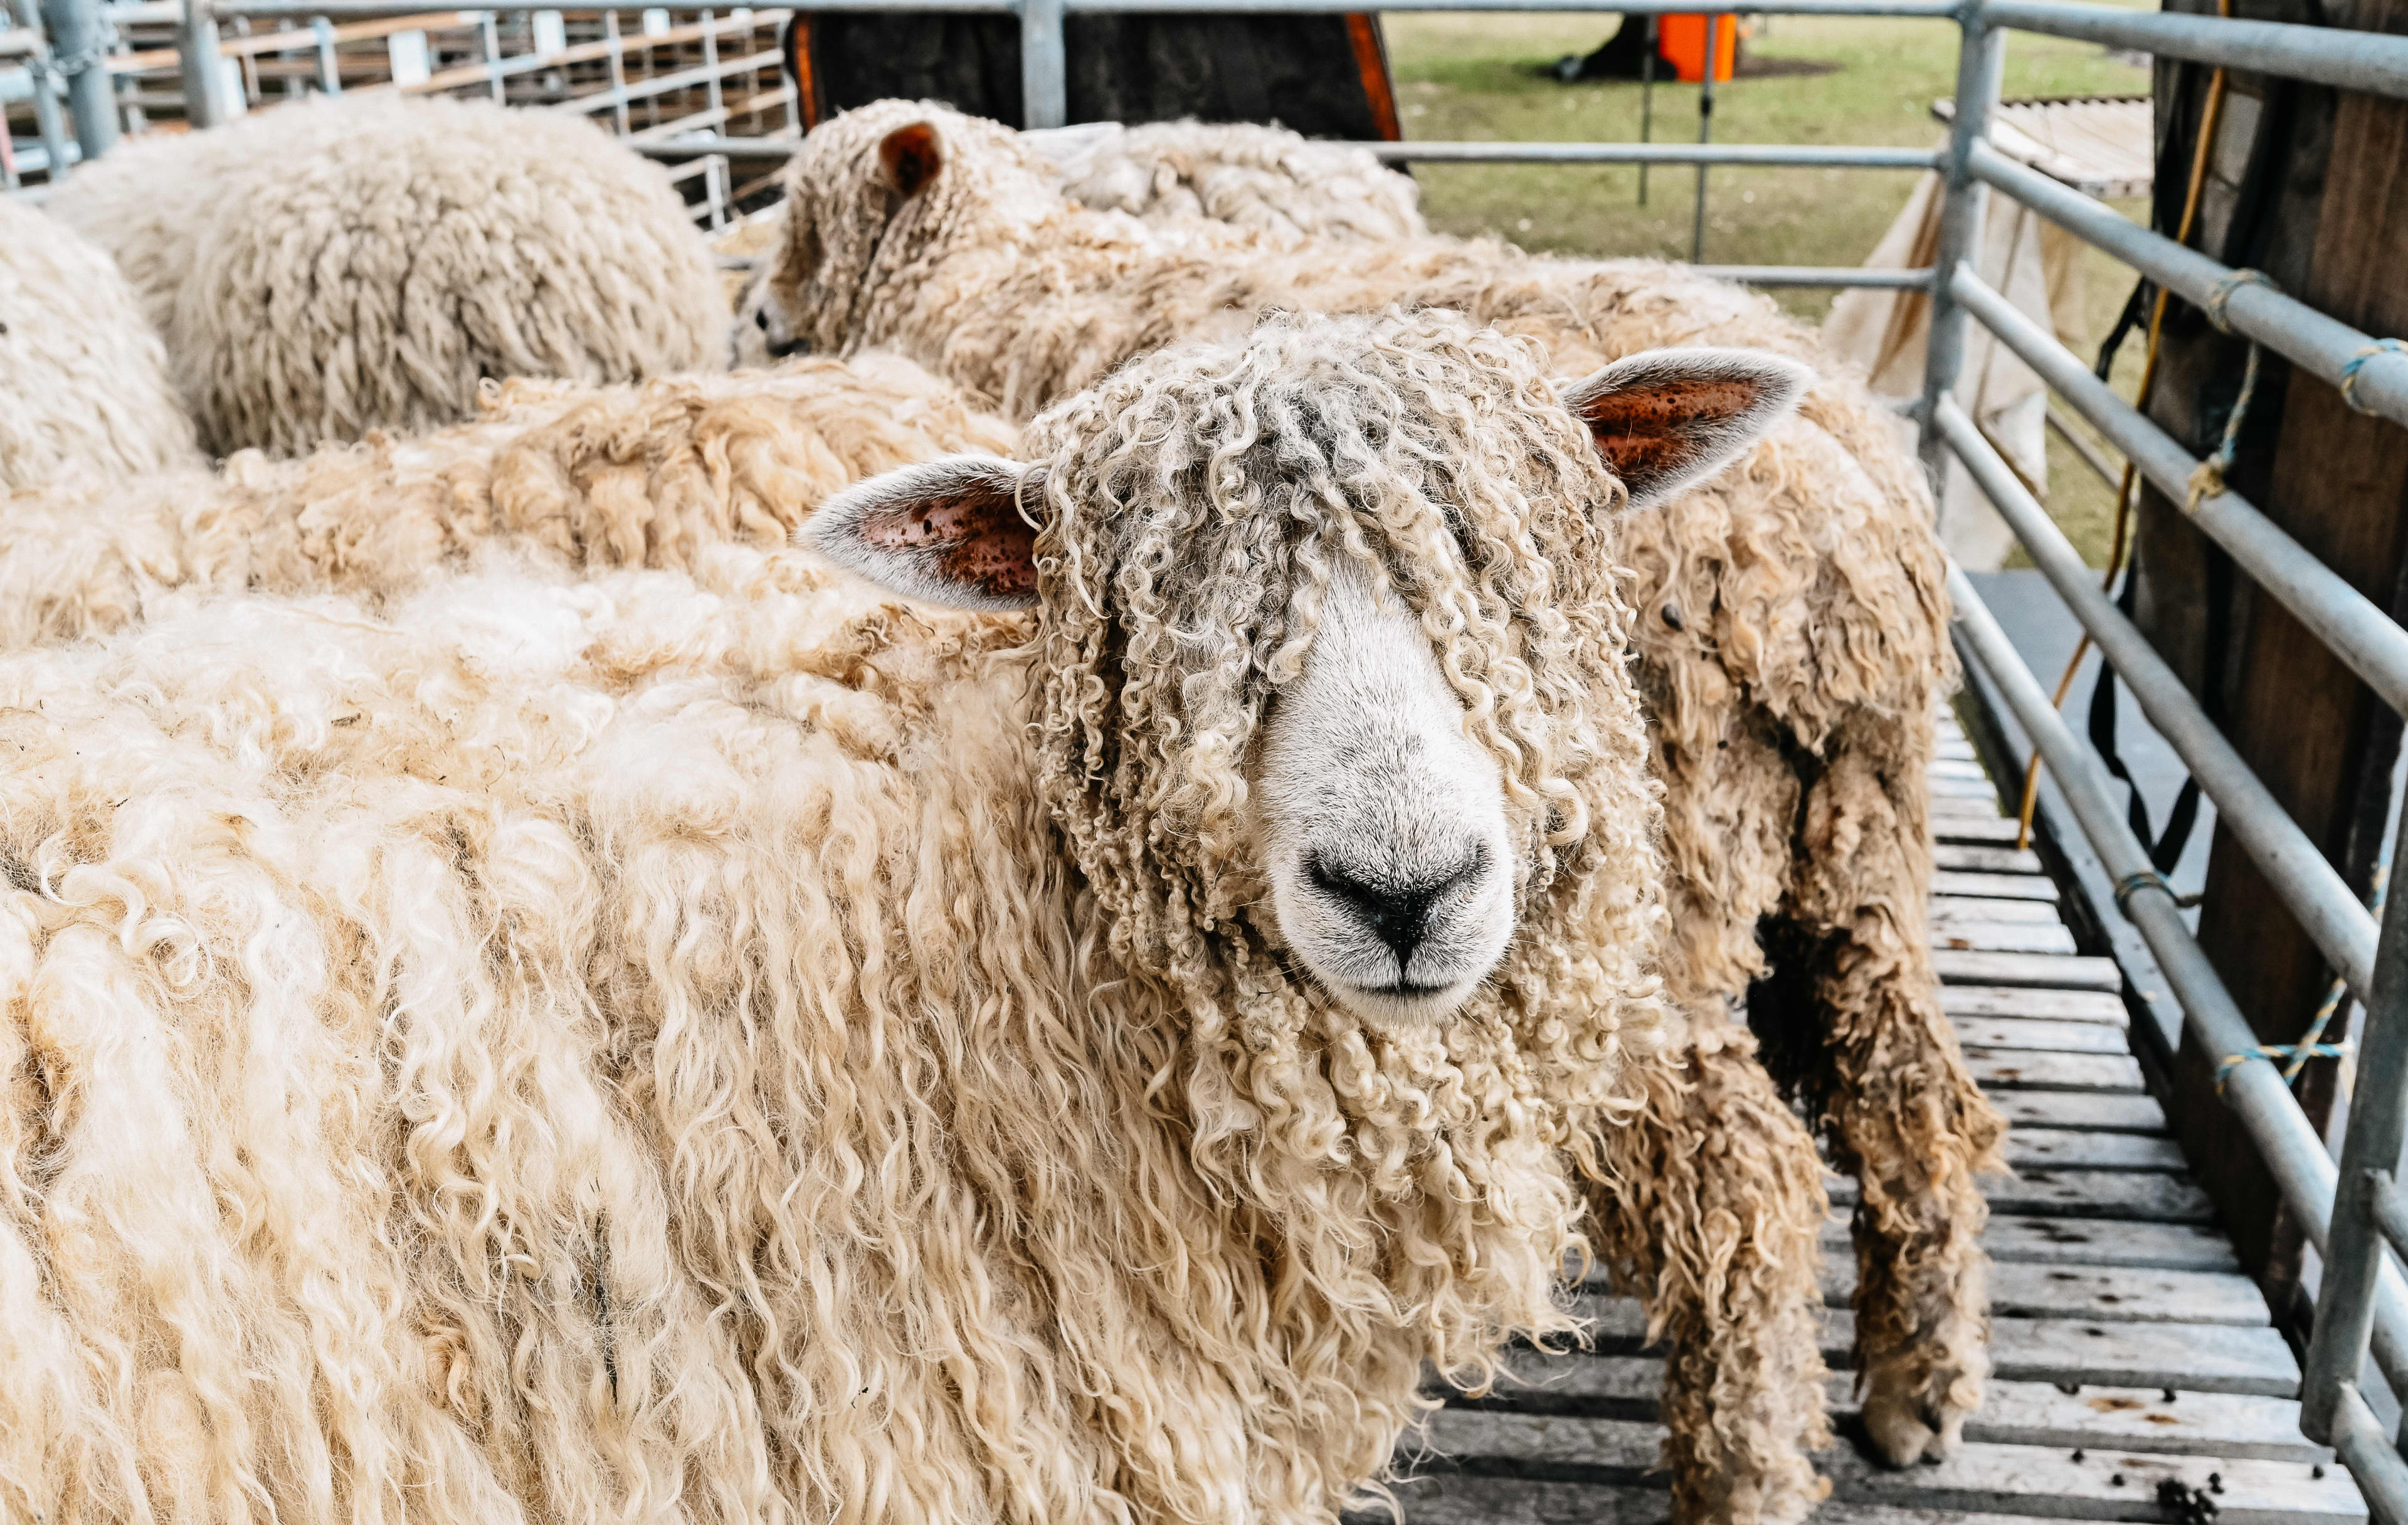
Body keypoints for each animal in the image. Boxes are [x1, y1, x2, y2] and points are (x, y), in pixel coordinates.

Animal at [752, 97, 2004, 1516]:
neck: (993, 270)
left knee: (1748, 1179)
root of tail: (1831, 536)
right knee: (1913, 1093)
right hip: (1860, 839)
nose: (762, 315)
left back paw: (1745, 1472)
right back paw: (1918, 1388)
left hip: (1653, 913)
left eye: (809, 214)